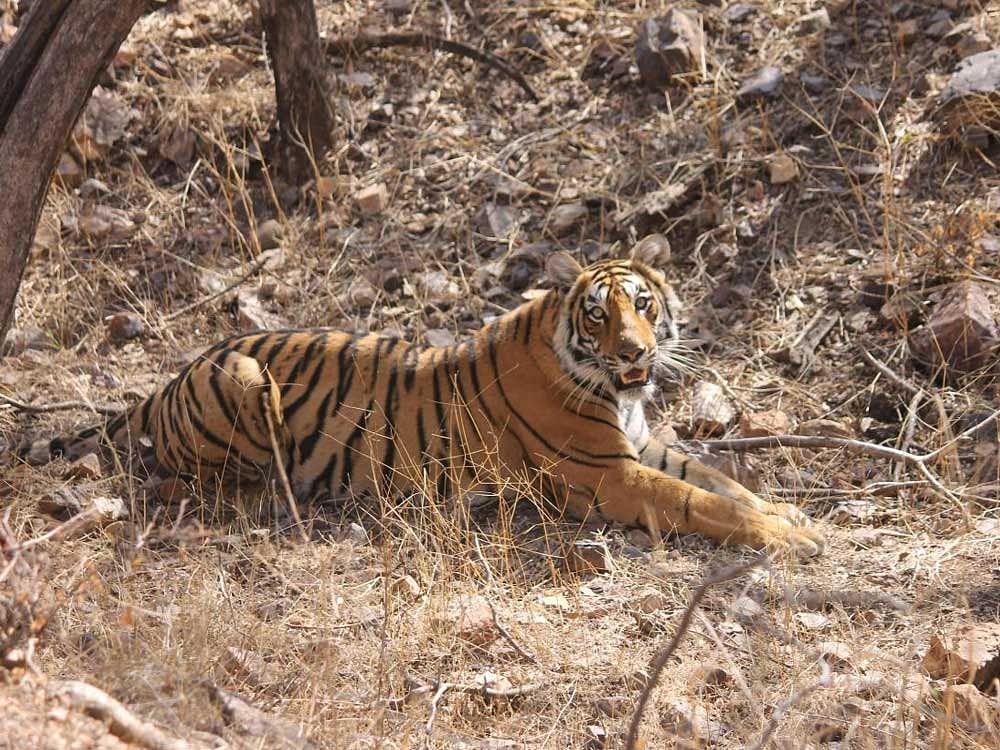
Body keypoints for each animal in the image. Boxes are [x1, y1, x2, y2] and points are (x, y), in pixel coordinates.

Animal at [17, 236, 820, 560]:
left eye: (644, 306)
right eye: (598, 315)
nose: (635, 353)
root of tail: (172, 375)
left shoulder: (640, 443)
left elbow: (719, 480)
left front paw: (786, 513)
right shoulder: (607, 474)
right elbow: (700, 501)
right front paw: (791, 537)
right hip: (244, 379)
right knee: (198, 482)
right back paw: (276, 498)